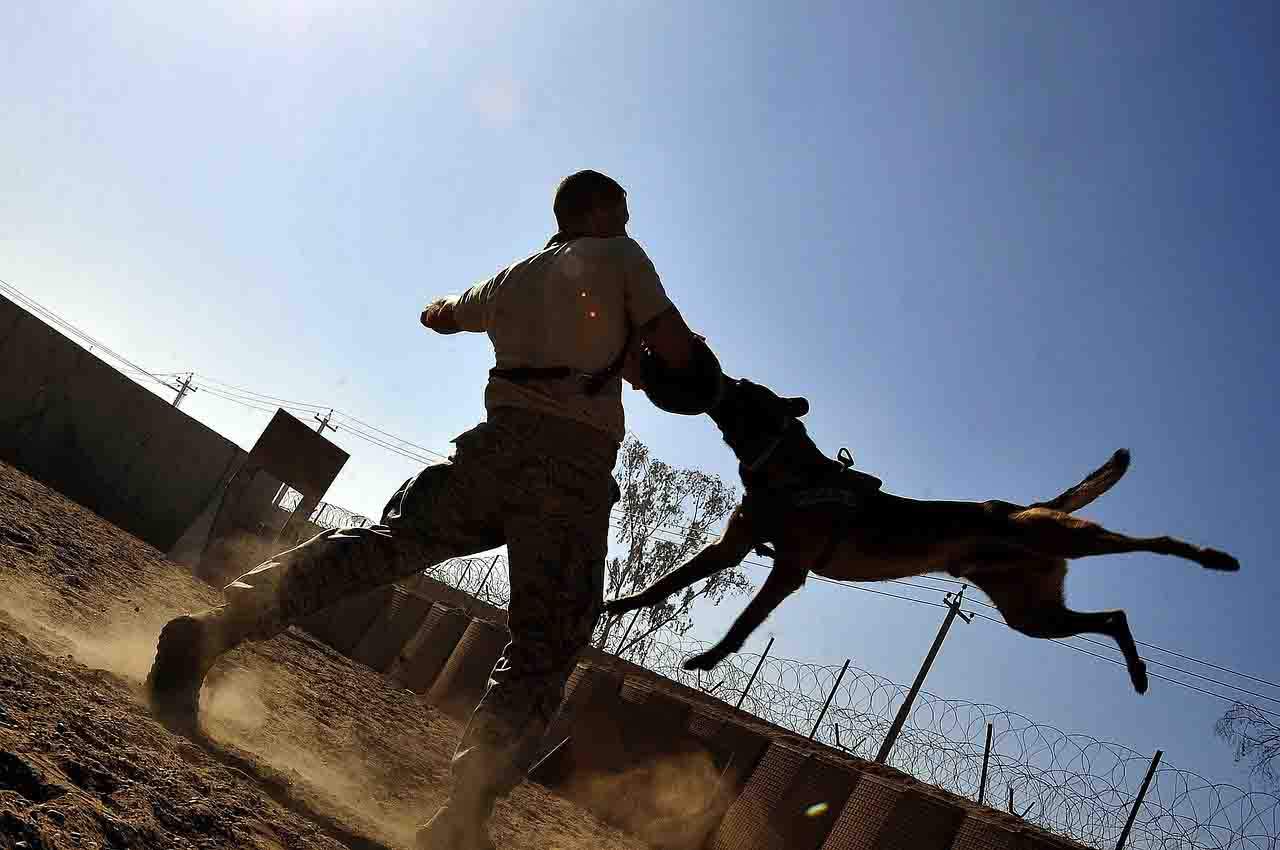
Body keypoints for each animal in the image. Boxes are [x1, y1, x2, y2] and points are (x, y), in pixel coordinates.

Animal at [606, 376, 1239, 691]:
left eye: (741, 389)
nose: (714, 375)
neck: (789, 470)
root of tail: (1032, 507)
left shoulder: (788, 570)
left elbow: (743, 623)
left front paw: (709, 659)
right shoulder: (729, 548)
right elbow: (666, 583)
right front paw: (618, 604)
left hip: (1064, 541)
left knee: (1147, 544)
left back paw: (1212, 557)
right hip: (1032, 614)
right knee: (1113, 617)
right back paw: (1137, 672)